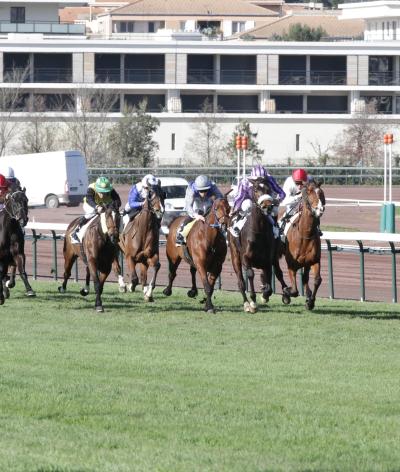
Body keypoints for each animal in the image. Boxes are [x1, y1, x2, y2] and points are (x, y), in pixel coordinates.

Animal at [228, 178, 278, 314]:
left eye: (269, 189)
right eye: (256, 189)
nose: (267, 205)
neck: (259, 231)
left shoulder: (267, 260)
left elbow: (268, 281)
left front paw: (264, 295)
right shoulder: (246, 258)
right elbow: (250, 275)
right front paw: (253, 302)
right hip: (235, 256)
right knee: (241, 282)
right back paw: (246, 304)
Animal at [276, 181, 326, 310]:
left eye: (321, 193)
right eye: (309, 193)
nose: (320, 209)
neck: (305, 234)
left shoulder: (314, 260)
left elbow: (317, 280)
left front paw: (310, 301)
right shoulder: (291, 265)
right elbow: (294, 291)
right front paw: (287, 292)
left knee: (305, 278)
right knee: (278, 272)